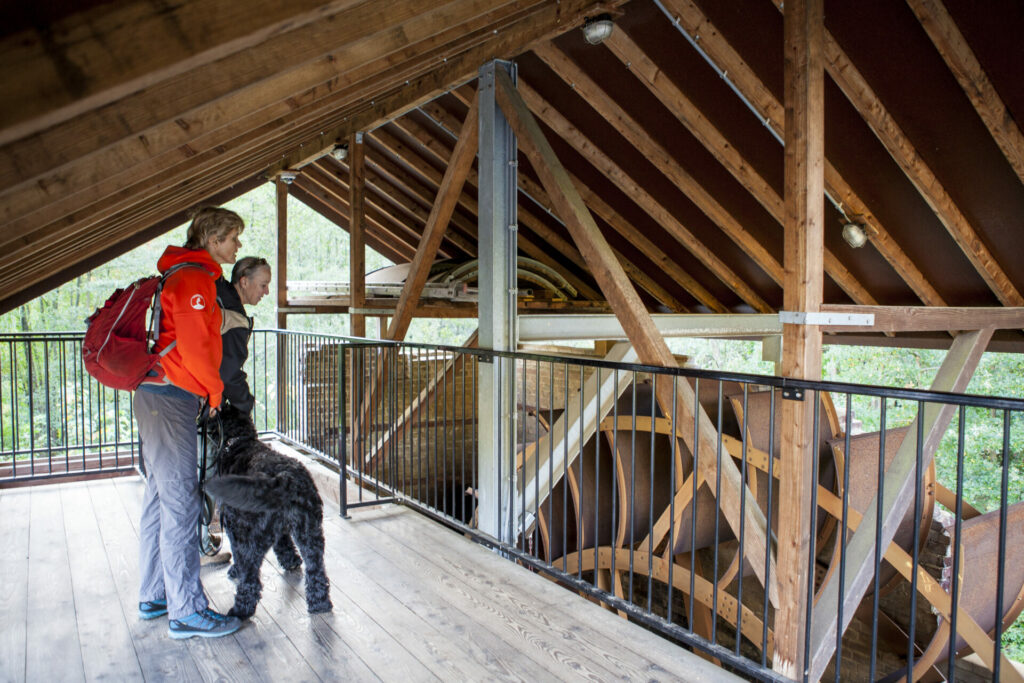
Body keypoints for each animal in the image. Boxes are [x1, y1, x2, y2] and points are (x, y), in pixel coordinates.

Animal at [205, 405, 333, 618]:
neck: (238, 441)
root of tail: (284, 478)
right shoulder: (281, 529)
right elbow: (284, 544)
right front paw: (291, 561)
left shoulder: (233, 527)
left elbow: (237, 554)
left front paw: (235, 570)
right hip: (311, 533)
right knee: (316, 570)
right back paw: (320, 603)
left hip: (252, 539)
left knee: (251, 580)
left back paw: (240, 610)